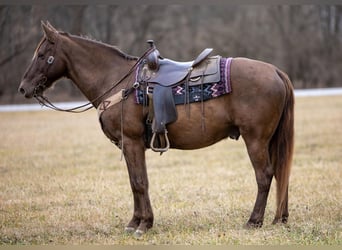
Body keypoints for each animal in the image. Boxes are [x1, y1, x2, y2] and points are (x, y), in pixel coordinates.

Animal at [18, 21, 294, 236]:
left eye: (41, 55)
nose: (23, 87)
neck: (117, 81)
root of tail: (275, 71)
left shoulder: (131, 141)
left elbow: (139, 182)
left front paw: (143, 225)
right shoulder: (131, 145)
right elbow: (135, 182)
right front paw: (135, 222)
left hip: (255, 139)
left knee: (264, 175)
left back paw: (254, 221)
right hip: (269, 140)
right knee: (281, 173)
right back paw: (279, 218)